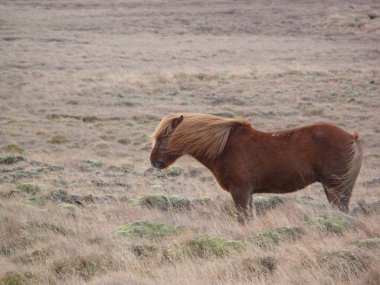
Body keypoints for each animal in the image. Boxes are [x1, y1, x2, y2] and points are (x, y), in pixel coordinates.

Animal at [150, 112, 364, 222]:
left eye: (163, 137)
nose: (153, 161)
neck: (224, 147)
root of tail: (351, 137)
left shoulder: (240, 190)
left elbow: (243, 218)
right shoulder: (248, 192)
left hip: (334, 186)